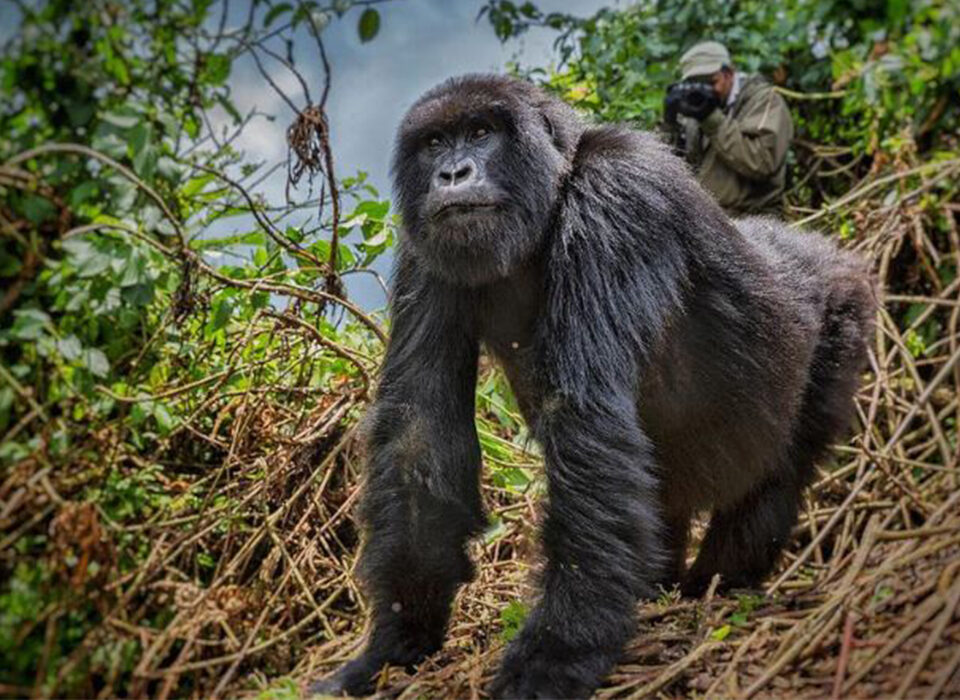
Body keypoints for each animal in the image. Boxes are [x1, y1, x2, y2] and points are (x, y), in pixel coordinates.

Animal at [310, 74, 874, 698]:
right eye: (434, 143)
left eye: (481, 132)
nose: (452, 174)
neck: (552, 192)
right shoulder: (424, 243)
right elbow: (419, 428)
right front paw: (396, 639)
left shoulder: (620, 193)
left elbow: (585, 417)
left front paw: (558, 653)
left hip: (842, 312)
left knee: (778, 473)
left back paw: (719, 583)